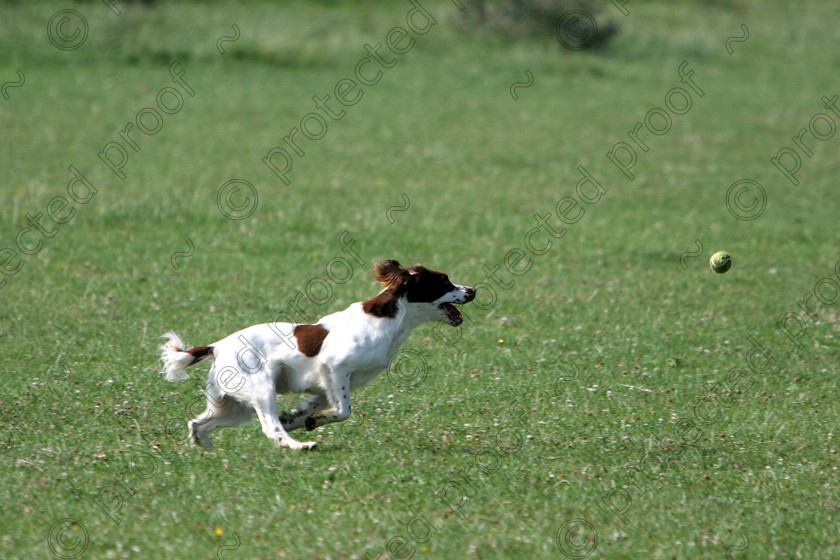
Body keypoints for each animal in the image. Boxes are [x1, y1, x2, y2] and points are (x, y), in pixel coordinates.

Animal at [158, 260, 472, 450]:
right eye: (444, 282)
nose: (473, 290)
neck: (390, 319)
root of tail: (217, 346)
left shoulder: (327, 383)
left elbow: (315, 409)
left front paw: (303, 419)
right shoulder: (336, 367)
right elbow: (343, 411)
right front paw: (310, 422)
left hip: (234, 406)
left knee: (199, 423)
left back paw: (205, 447)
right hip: (261, 389)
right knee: (269, 427)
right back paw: (300, 447)